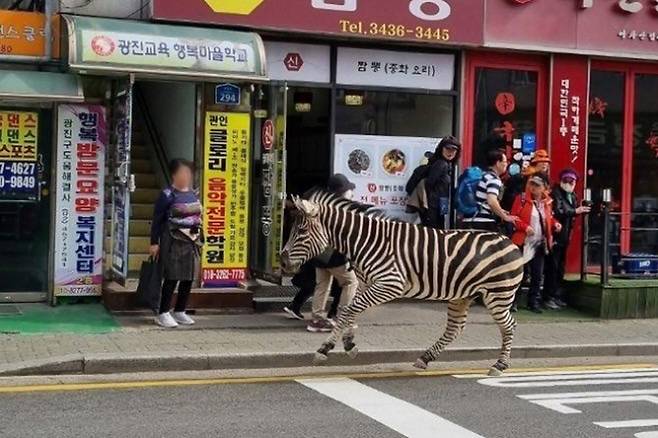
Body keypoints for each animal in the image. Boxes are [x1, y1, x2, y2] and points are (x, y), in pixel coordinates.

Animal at [280, 189, 524, 376]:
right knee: (455, 328)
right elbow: (349, 309)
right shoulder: (367, 284)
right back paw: (425, 358)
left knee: (509, 325)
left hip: (498, 294)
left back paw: (500, 365)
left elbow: (349, 309)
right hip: (462, 295)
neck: (366, 242)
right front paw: (348, 343)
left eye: (301, 231)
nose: (282, 262)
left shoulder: (390, 284)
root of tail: (508, 240)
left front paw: (326, 348)